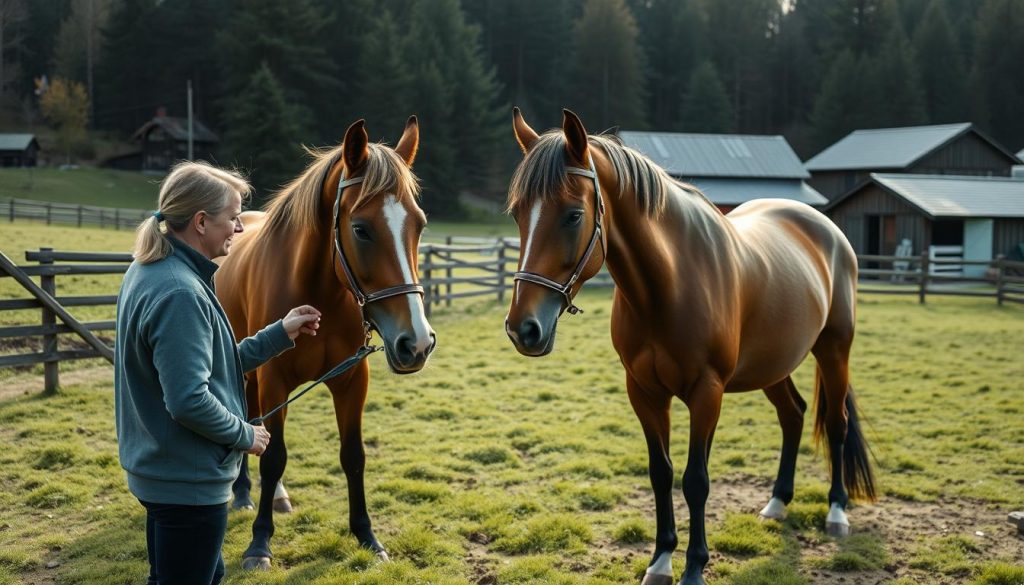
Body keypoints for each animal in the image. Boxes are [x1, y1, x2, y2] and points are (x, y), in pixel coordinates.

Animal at [214, 116, 438, 569]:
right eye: (361, 229)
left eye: (420, 224)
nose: (417, 343)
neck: (320, 293)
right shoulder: (274, 378)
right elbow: (275, 457)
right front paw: (259, 543)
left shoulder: (352, 380)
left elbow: (354, 457)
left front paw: (367, 535)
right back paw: (244, 495)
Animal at [503, 107, 872, 581]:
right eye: (517, 214)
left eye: (572, 215)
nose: (523, 328)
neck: (671, 284)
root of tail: (828, 230)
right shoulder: (643, 392)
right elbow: (661, 473)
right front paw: (661, 560)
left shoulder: (706, 392)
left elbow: (696, 479)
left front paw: (694, 566)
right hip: (773, 364)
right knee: (793, 415)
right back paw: (777, 503)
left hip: (833, 350)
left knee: (837, 423)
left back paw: (836, 513)